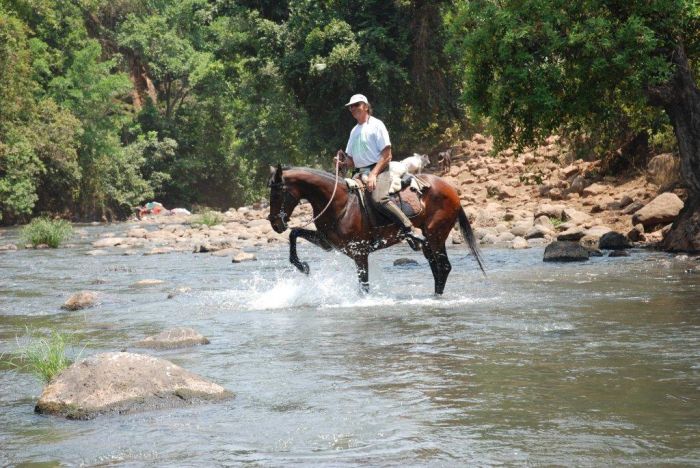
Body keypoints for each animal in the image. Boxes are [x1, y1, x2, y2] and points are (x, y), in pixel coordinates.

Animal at [266, 165, 484, 294]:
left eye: (277, 193)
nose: (275, 224)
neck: (341, 204)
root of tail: (451, 189)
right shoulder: (326, 242)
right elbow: (294, 233)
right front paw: (302, 266)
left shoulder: (359, 252)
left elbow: (364, 285)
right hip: (429, 242)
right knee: (437, 268)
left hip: (436, 235)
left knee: (444, 267)